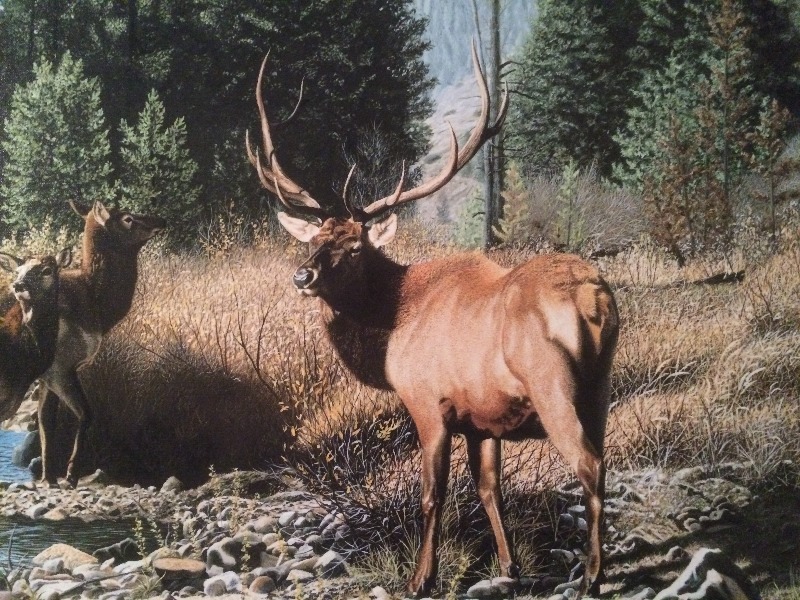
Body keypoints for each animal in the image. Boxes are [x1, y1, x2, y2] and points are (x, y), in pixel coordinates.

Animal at [34, 201, 166, 486]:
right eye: (127, 218)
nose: (161, 220)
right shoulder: (60, 367)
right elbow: (86, 413)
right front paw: (70, 474)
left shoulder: (48, 376)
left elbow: (46, 420)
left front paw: (49, 478)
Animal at [247, 46, 619, 597]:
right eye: (313, 240)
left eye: (354, 248)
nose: (302, 274)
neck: (392, 327)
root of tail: (593, 298)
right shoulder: (482, 418)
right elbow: (489, 489)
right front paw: (508, 568)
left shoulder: (427, 402)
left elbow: (432, 495)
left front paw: (421, 577)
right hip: (601, 387)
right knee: (605, 462)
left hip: (553, 386)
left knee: (588, 466)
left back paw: (593, 576)